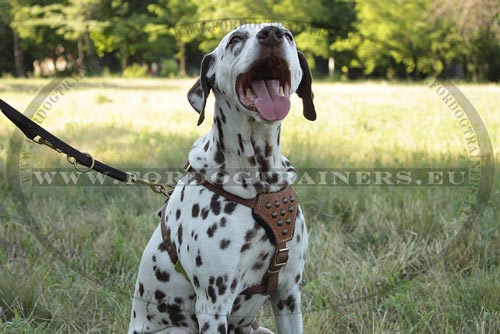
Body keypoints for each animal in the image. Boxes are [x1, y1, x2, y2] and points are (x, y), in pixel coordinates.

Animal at [129, 23, 316, 334]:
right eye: (236, 39)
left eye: (288, 35)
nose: (272, 33)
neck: (260, 184)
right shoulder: (214, 304)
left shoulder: (289, 294)